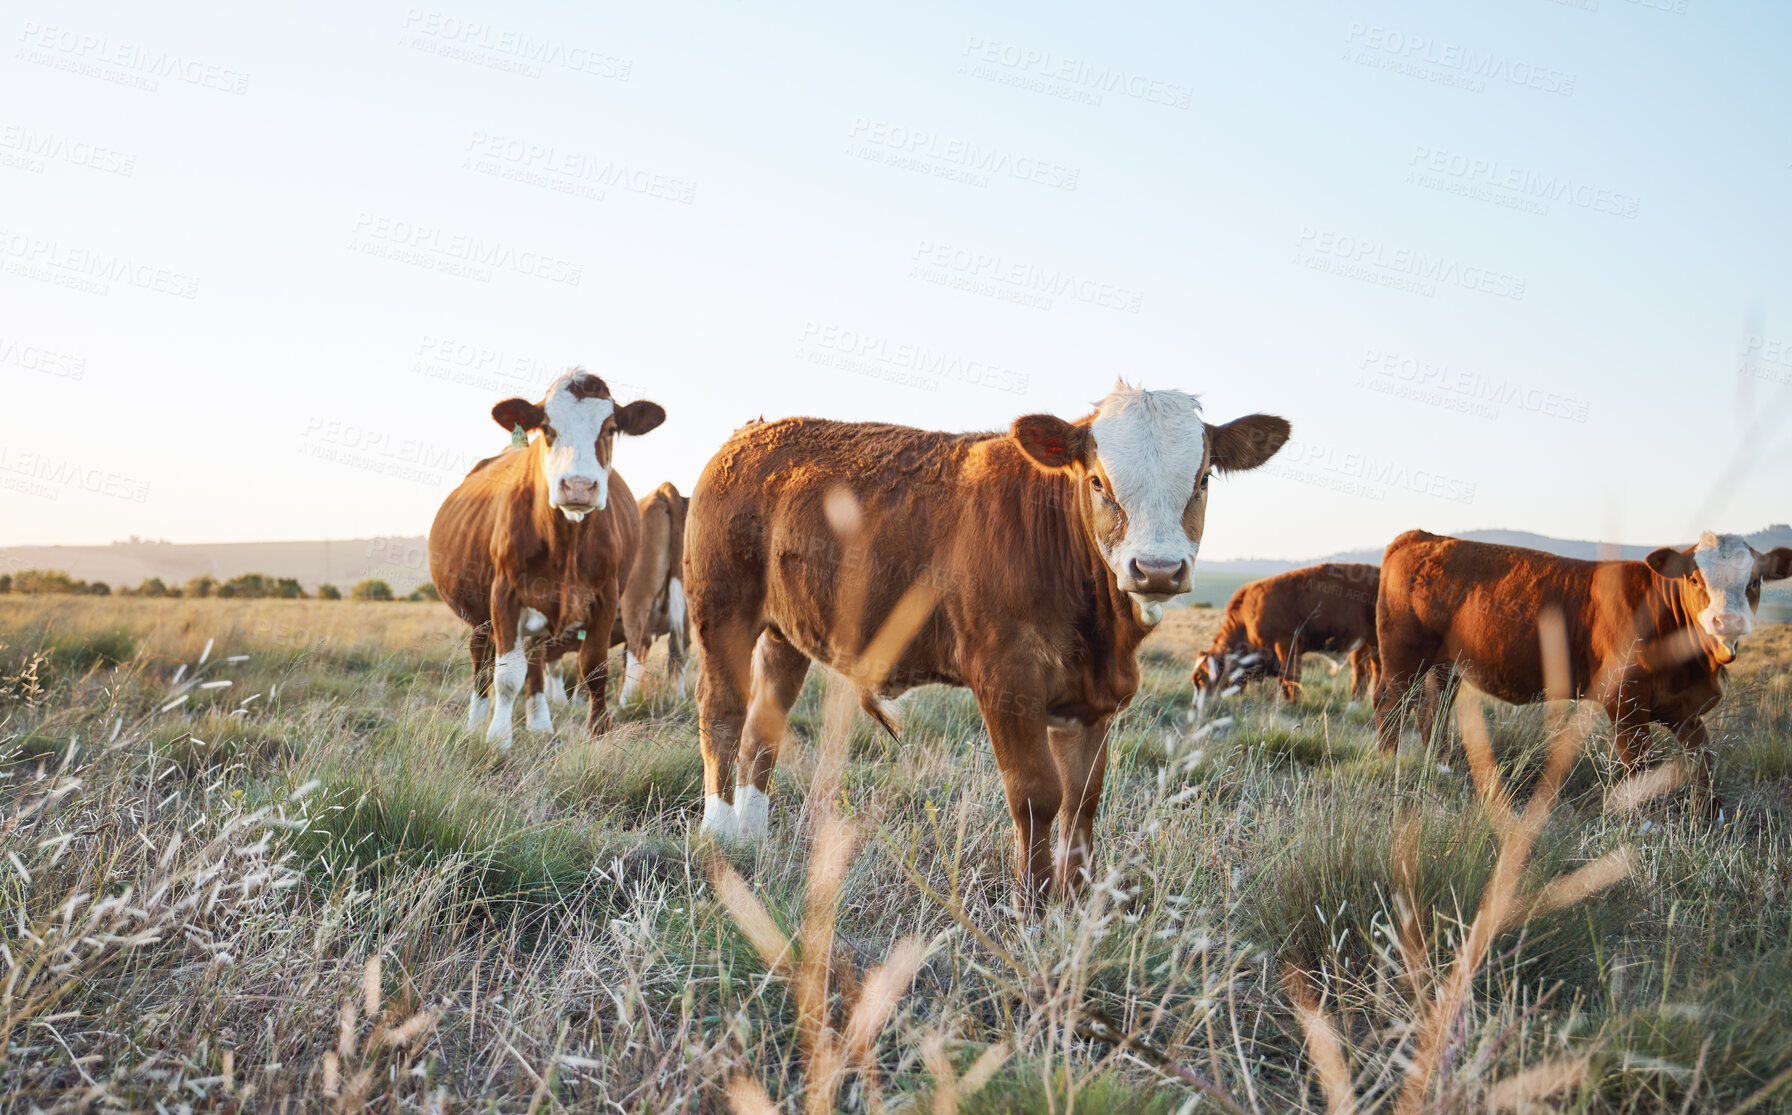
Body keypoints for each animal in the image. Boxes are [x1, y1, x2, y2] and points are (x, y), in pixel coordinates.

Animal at [430, 371, 670, 745]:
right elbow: (507, 674)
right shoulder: (504, 592)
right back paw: (476, 720)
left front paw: (598, 730)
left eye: (610, 428)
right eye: (547, 428)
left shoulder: (607, 594)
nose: (578, 486)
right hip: (478, 611)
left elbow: (594, 666)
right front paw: (498, 738)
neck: (566, 543)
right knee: (481, 659)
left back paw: (539, 722)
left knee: (535, 656)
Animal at [534, 480, 688, 706]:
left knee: (638, 648)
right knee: (679, 650)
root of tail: (662, 490)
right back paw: (678, 698)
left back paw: (626, 702)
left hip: (636, 600)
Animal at [684, 387, 1290, 910]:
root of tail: (750, 434)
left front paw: (1073, 905)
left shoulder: (1091, 701)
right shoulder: (1007, 679)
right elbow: (1036, 793)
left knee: (763, 729)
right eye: (1098, 481)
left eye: (1203, 477)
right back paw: (720, 837)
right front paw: (1033, 908)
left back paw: (753, 838)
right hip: (721, 613)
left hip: (784, 633)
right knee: (723, 713)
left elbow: (1083, 799)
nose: (1159, 569)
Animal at [1197, 562, 1376, 702]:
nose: (1199, 707)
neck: (1246, 620)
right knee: (1362, 675)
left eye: (1200, 678)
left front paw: (1292, 703)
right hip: (1362, 646)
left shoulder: (1288, 645)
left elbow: (1289, 678)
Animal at [1376, 530, 1784, 813]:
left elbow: (1703, 761)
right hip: (1403, 659)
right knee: (1389, 709)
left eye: (1754, 582)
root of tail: (1423, 536)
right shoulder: (1625, 702)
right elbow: (1639, 765)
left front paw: (1711, 818)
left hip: (1445, 666)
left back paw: (1440, 768)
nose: (1727, 622)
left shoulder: (1681, 706)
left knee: (1433, 711)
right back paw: (1387, 764)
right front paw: (1648, 826)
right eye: (1696, 580)